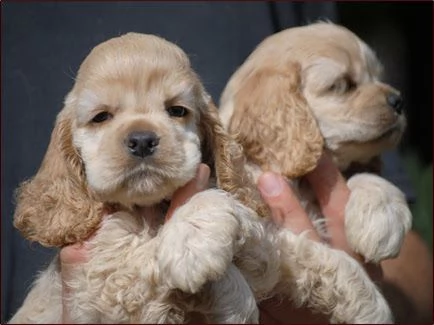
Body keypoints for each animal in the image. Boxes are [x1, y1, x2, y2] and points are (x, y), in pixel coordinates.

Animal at [10, 33, 262, 324]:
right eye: (101, 117)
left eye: (177, 110)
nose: (142, 140)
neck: (145, 211)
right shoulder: (113, 281)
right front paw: (193, 249)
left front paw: (191, 241)